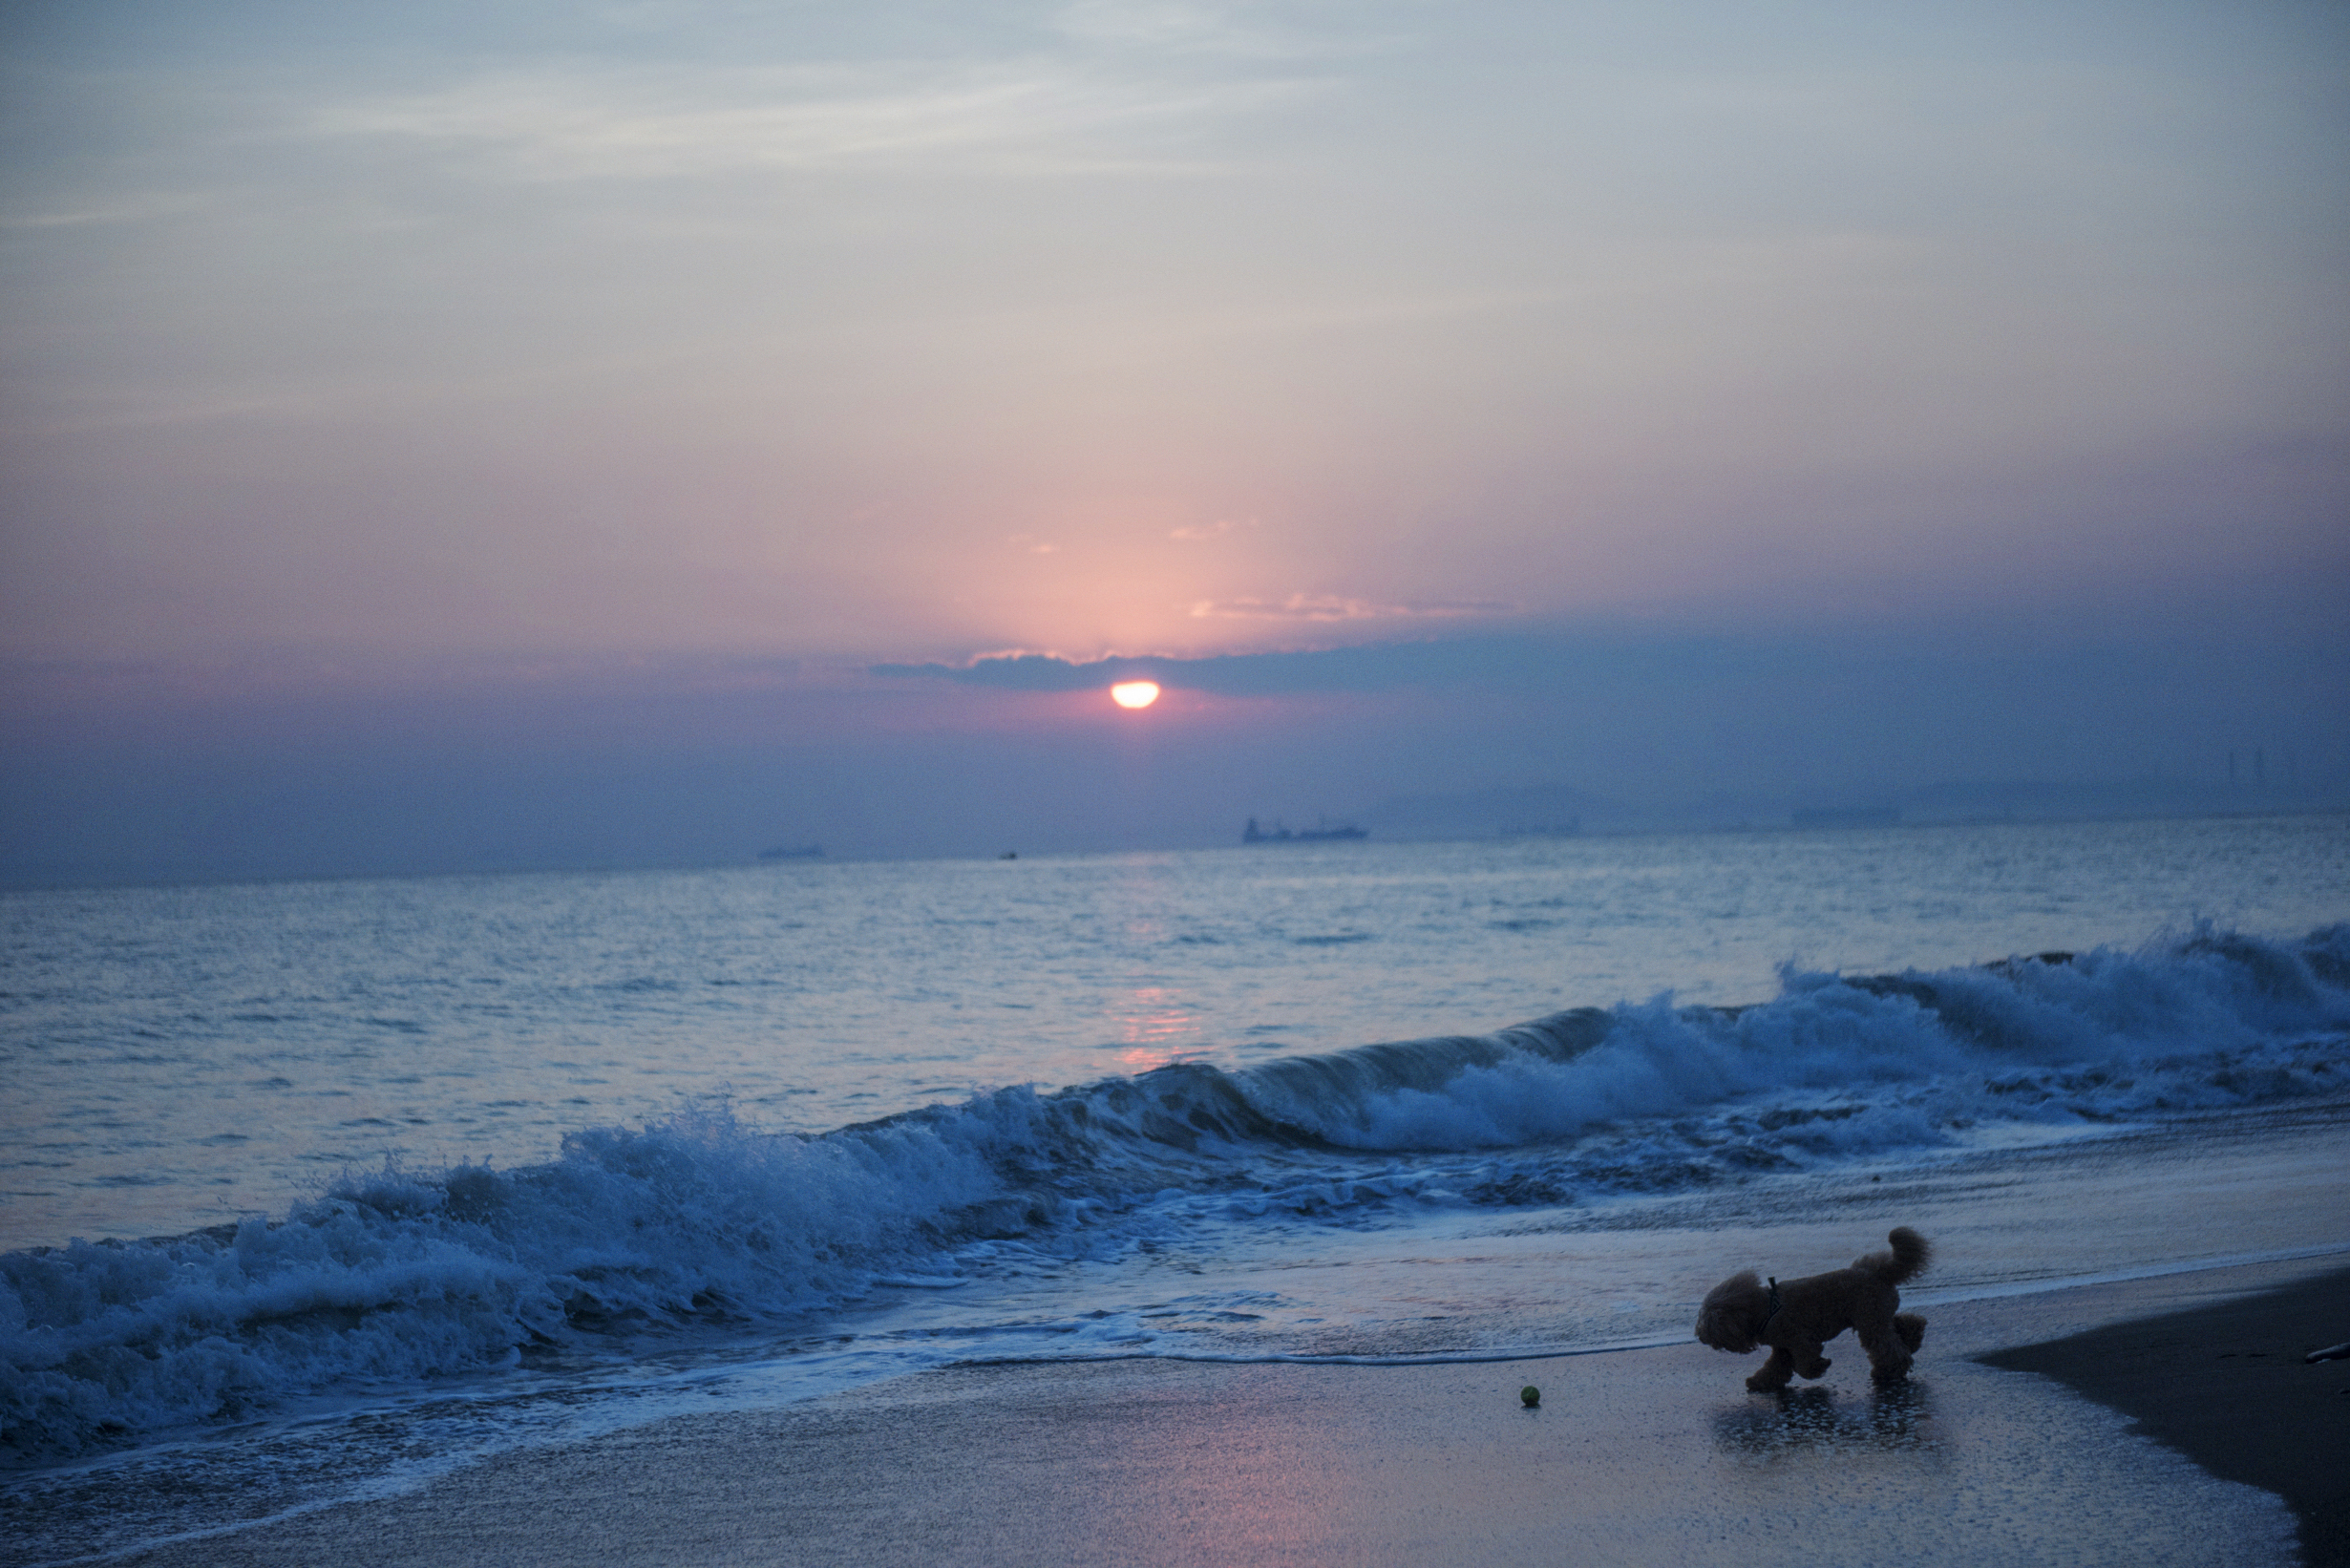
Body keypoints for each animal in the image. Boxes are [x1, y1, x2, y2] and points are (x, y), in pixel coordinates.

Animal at [1701, 1231, 1936, 1391]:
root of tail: (1879, 1272)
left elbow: (1805, 1363)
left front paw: (1818, 1367)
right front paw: (1759, 1382)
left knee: (1888, 1347)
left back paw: (1889, 1370)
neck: (1765, 1308)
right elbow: (1775, 1368)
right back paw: (1913, 1340)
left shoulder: (1800, 1341)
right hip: (1876, 1316)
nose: (1700, 1337)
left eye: (1708, 1322)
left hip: (1869, 1320)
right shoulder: (1783, 1348)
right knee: (1907, 1324)